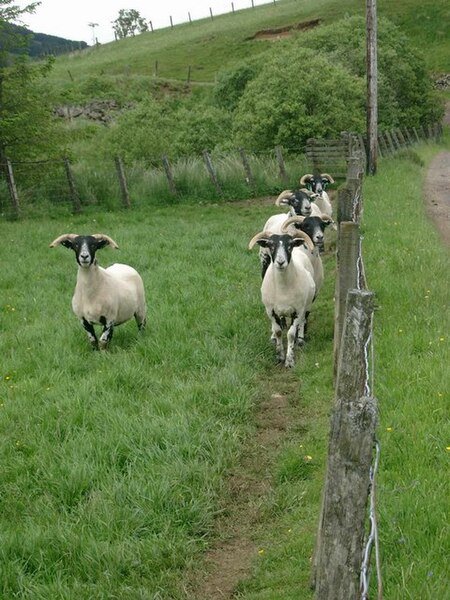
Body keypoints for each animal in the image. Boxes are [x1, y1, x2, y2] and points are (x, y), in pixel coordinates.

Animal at [248, 227, 314, 368]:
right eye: (271, 246)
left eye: (290, 246)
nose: (280, 262)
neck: (283, 288)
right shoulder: (271, 311)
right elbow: (278, 331)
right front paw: (279, 356)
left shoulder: (297, 310)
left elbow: (290, 334)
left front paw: (289, 360)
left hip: (307, 304)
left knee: (303, 320)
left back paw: (300, 339)